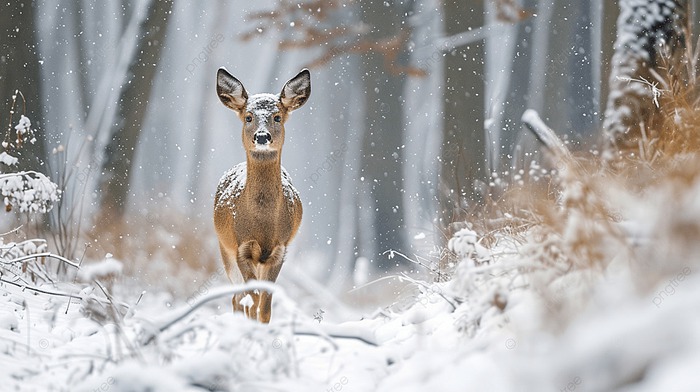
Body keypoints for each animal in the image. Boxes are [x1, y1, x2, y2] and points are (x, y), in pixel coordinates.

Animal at [213, 67, 308, 324]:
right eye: (248, 117)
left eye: (277, 117)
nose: (262, 136)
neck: (263, 224)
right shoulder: (241, 248)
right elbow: (253, 298)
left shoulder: (279, 250)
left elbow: (265, 307)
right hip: (224, 249)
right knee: (237, 298)